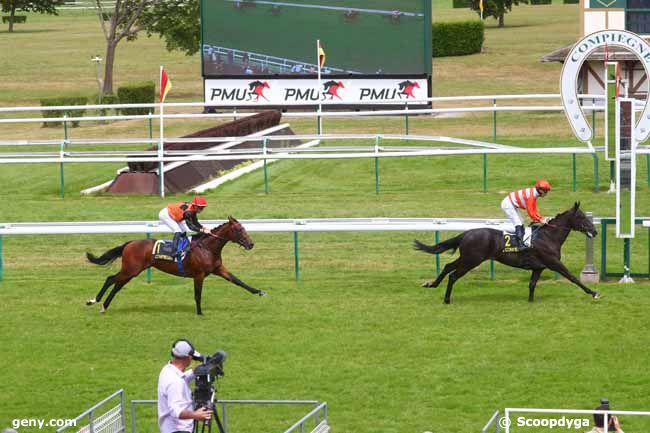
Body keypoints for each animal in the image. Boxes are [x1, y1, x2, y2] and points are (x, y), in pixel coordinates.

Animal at [85, 216, 264, 314]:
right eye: (239, 230)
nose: (251, 244)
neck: (207, 248)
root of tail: (129, 243)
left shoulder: (218, 269)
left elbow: (237, 280)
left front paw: (259, 291)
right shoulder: (199, 275)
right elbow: (197, 295)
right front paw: (200, 313)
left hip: (132, 271)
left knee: (117, 284)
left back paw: (104, 306)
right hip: (131, 269)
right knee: (110, 279)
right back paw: (94, 301)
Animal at [412, 203, 600, 302]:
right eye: (582, 217)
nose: (595, 231)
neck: (548, 236)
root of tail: (466, 233)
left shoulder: (538, 267)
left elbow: (532, 284)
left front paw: (530, 301)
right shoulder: (554, 263)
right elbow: (572, 277)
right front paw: (594, 292)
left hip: (468, 258)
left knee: (447, 266)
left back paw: (432, 284)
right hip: (472, 260)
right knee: (453, 275)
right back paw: (446, 299)